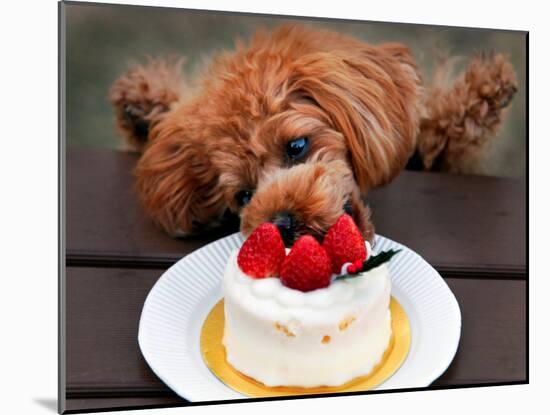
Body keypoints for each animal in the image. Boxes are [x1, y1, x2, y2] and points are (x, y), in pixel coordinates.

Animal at [108, 23, 516, 247]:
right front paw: (144, 107)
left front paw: (485, 90)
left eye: (297, 146)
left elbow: (441, 134)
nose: (281, 224)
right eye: (243, 195)